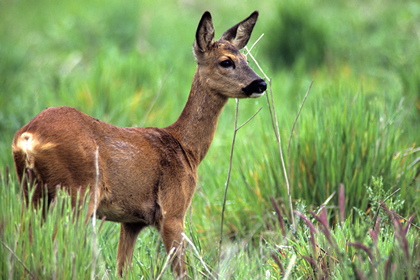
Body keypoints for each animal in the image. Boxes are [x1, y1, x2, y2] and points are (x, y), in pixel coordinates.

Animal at [12, 10, 266, 278]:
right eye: (226, 61)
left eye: (246, 58)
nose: (261, 84)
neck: (186, 149)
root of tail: (28, 137)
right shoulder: (172, 210)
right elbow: (181, 270)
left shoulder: (132, 221)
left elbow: (123, 267)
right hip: (77, 192)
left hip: (31, 193)